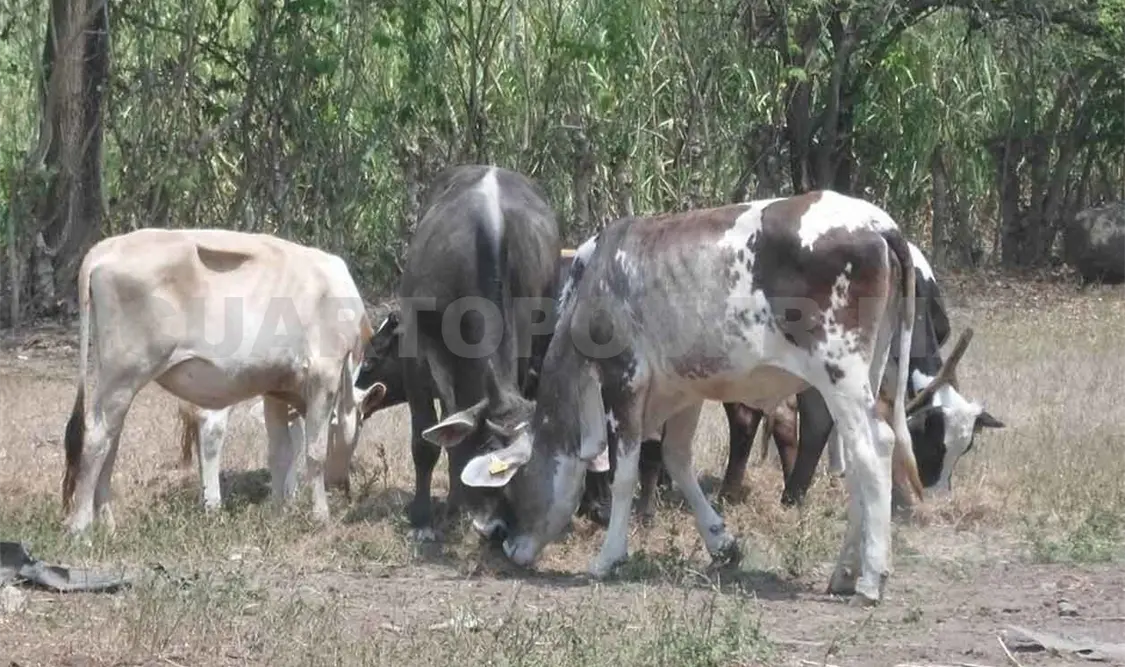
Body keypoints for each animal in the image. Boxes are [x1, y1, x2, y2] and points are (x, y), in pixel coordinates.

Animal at [60, 228, 379, 535]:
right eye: (359, 429)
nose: (343, 485)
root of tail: (105, 248)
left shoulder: (276, 389)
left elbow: (280, 453)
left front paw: (278, 512)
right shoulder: (324, 376)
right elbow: (314, 452)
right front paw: (321, 516)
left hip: (113, 380)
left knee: (111, 441)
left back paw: (108, 525)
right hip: (124, 375)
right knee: (96, 437)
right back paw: (81, 528)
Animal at [421, 190, 923, 605]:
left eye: (513, 485)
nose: (506, 543)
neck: (593, 283)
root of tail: (876, 222)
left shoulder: (624, 380)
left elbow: (623, 474)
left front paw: (608, 557)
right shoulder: (685, 392)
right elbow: (677, 462)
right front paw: (721, 542)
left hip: (840, 371)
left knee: (873, 449)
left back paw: (871, 577)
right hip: (865, 372)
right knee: (860, 461)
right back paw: (843, 573)